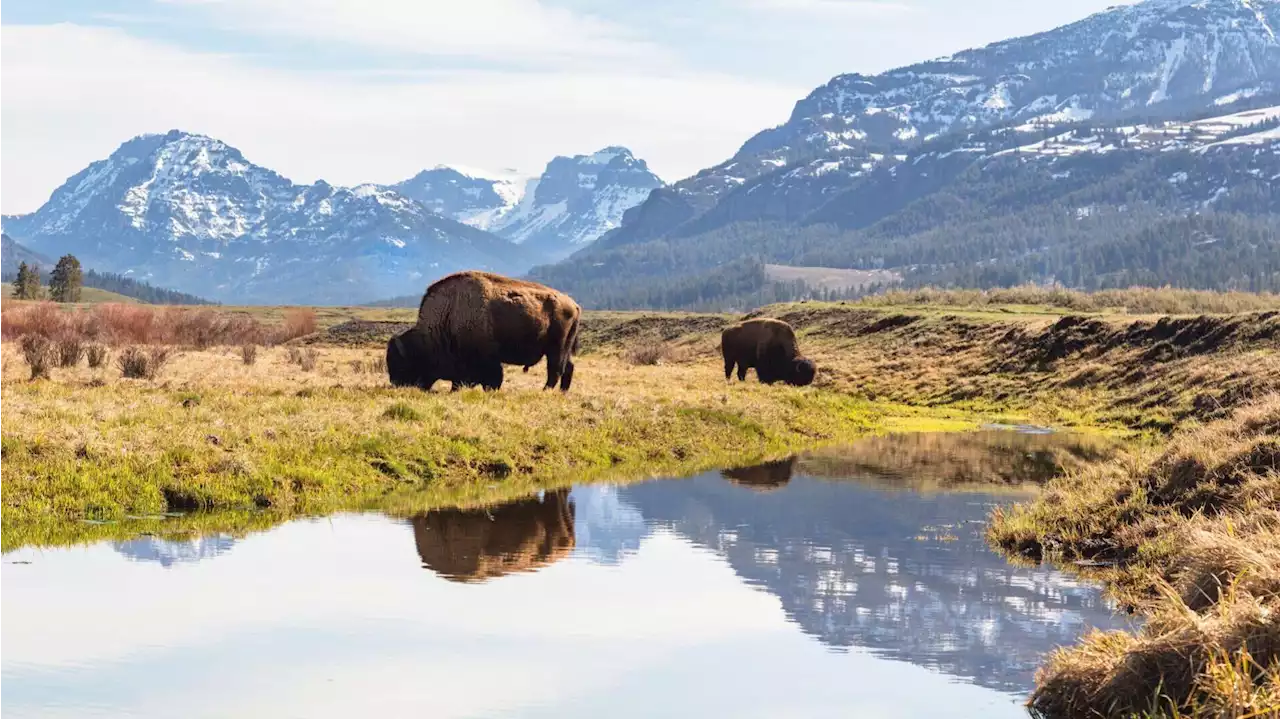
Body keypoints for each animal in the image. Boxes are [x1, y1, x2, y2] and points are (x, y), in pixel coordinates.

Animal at [378, 269, 581, 391]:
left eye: (402, 363)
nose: (396, 384)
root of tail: (574, 304)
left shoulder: (486, 360)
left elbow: (492, 378)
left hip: (556, 348)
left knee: (555, 370)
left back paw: (545, 391)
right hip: (563, 349)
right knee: (568, 367)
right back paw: (562, 392)